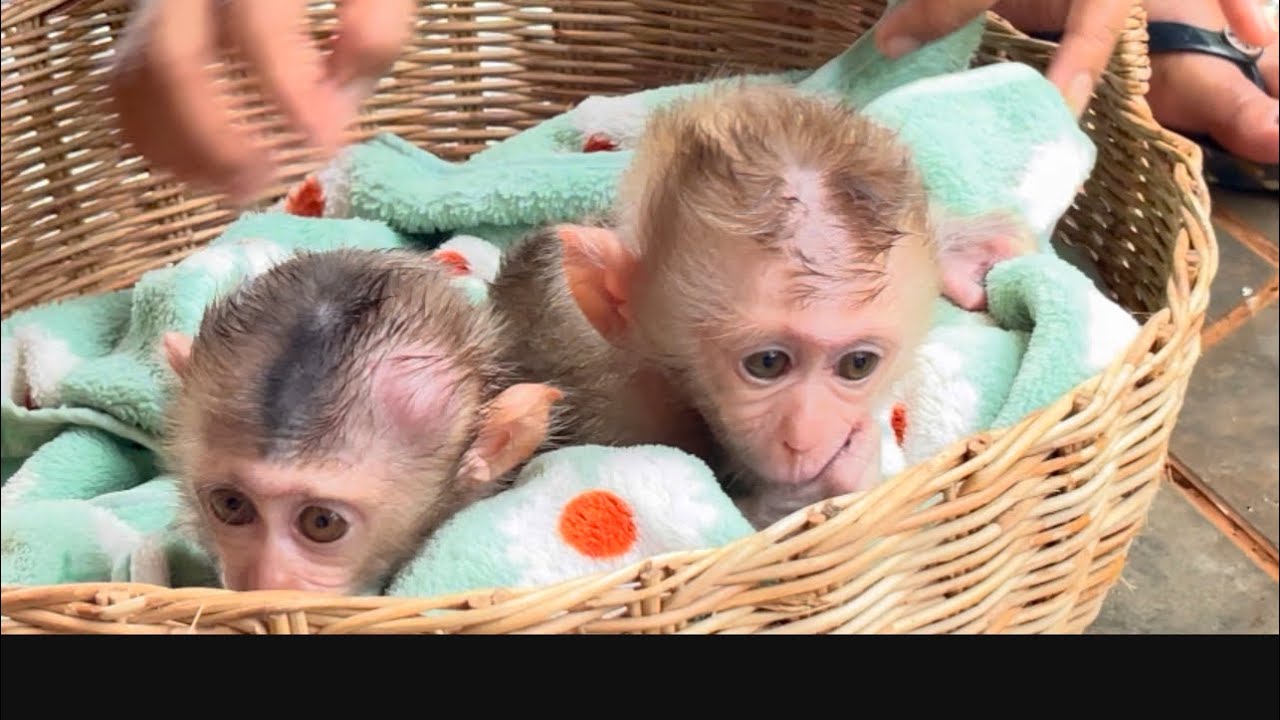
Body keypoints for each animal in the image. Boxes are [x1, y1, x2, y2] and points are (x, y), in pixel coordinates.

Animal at [489, 81, 1034, 529]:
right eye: (768, 363)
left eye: (858, 364)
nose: (805, 438)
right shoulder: (621, 403)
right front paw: (828, 485)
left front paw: (957, 244)